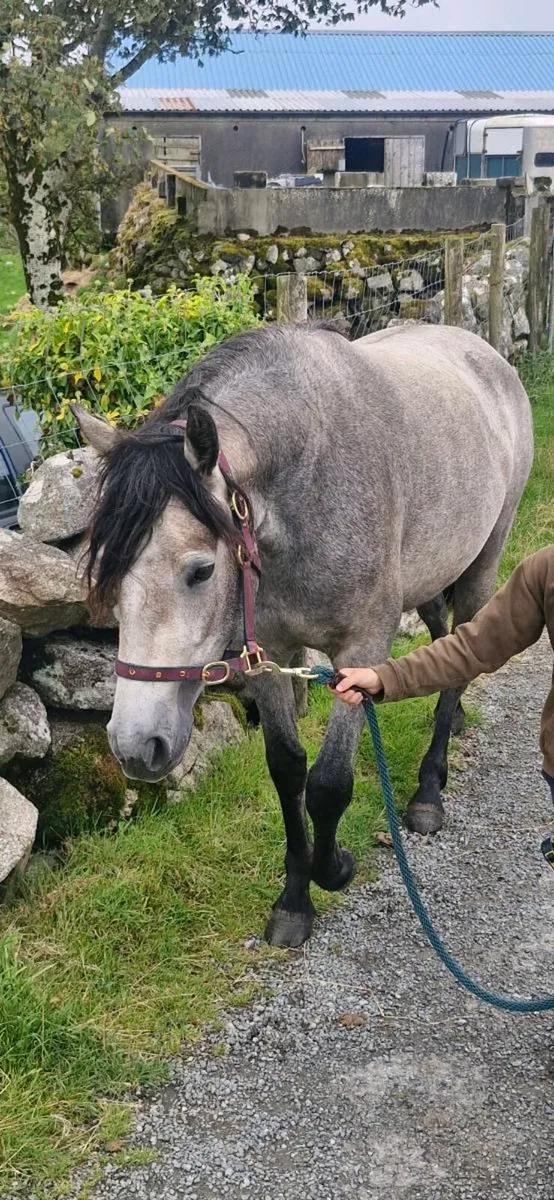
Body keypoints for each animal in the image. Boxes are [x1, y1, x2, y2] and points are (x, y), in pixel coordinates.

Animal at [75, 321, 533, 949]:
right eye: (111, 578)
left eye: (201, 570)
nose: (134, 746)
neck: (308, 484)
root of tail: (486, 353)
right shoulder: (269, 652)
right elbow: (288, 769)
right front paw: (295, 900)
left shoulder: (361, 650)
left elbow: (330, 783)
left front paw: (334, 867)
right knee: (445, 644)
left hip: (482, 566)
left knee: (463, 653)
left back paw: (427, 792)